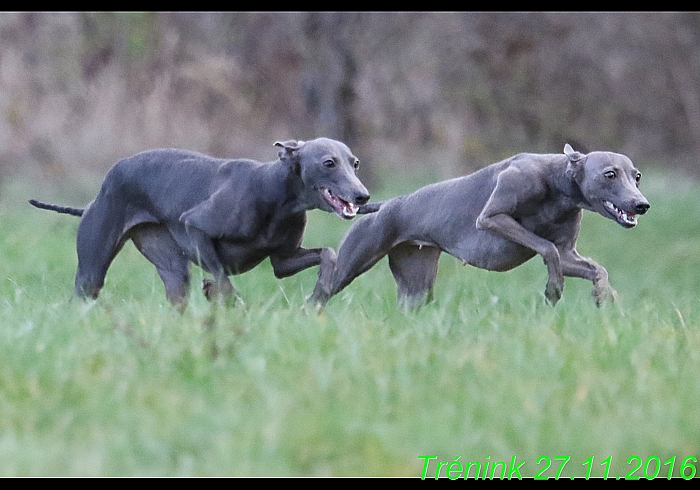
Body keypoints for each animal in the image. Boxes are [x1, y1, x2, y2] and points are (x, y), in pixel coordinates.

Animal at [31, 137, 372, 310]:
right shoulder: (195, 227)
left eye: (355, 162)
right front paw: (225, 298)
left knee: (177, 288)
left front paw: (319, 294)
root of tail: (101, 188)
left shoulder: (283, 261)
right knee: (84, 290)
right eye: (328, 162)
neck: (274, 191)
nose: (363, 196)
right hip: (91, 271)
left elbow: (328, 253)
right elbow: (221, 276)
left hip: (171, 268)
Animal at [312, 143, 652, 310]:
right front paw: (553, 289)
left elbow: (593, 267)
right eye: (610, 174)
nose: (642, 205)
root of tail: (385, 206)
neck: (559, 182)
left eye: (636, 176)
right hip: (350, 264)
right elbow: (547, 248)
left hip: (416, 285)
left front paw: (605, 295)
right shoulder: (492, 218)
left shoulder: (570, 253)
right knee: (317, 295)